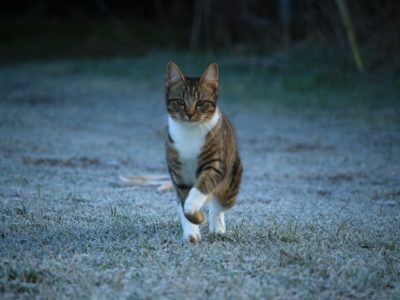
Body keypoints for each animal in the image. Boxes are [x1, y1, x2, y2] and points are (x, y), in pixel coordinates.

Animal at [164, 62, 242, 244]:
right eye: (180, 101)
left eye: (200, 102)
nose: (190, 114)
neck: (190, 134)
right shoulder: (178, 174)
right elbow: (184, 202)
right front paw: (193, 227)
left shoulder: (215, 165)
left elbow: (200, 189)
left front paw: (196, 213)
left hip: (232, 181)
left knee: (218, 206)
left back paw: (218, 229)